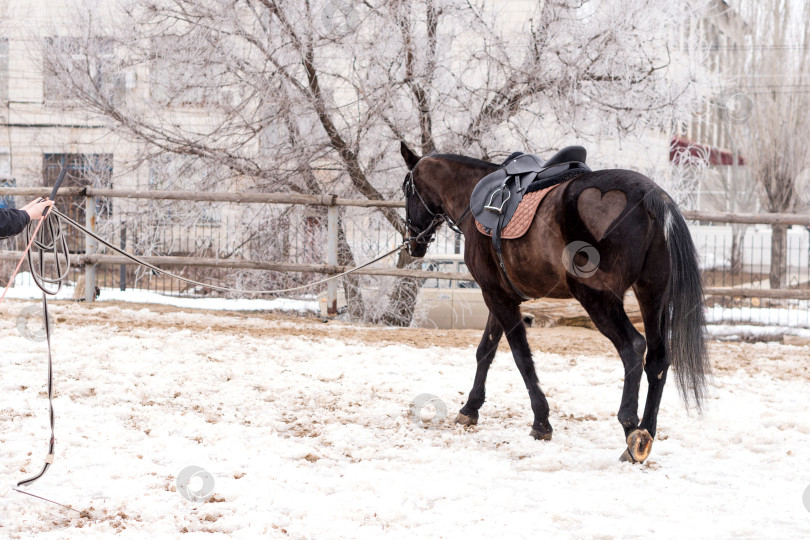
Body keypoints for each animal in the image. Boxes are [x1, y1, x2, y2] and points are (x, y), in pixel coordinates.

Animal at [398, 141, 708, 462]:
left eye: (407, 189)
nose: (412, 242)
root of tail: (652, 195)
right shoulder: (499, 294)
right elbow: (486, 351)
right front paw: (470, 409)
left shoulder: (494, 295)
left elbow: (521, 356)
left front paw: (541, 422)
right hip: (652, 295)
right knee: (658, 359)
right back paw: (646, 433)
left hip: (597, 298)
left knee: (633, 347)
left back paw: (631, 430)